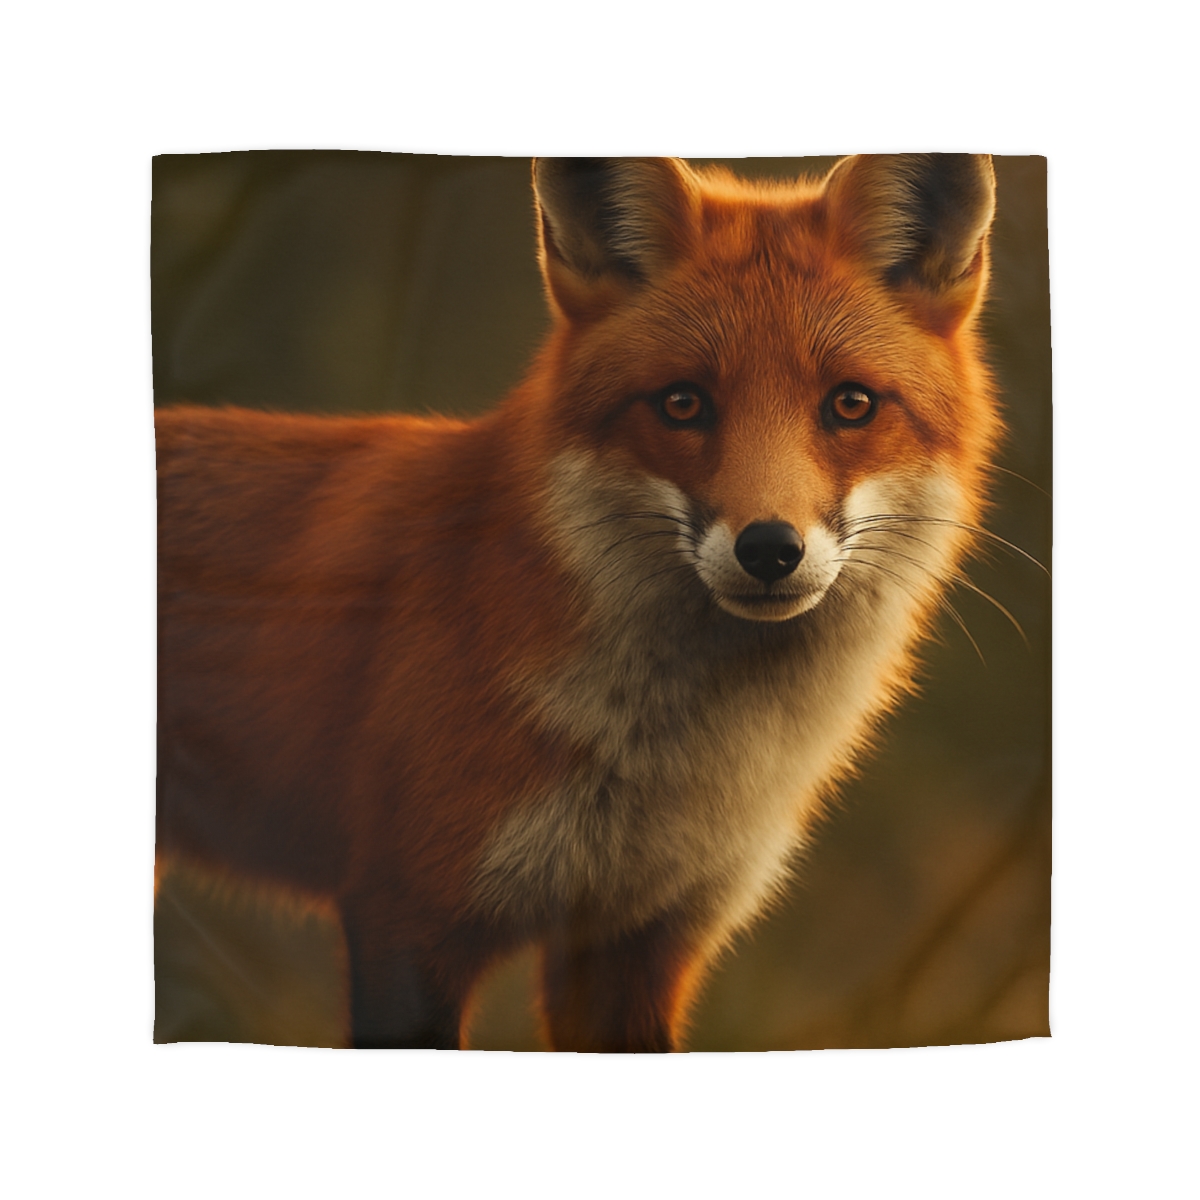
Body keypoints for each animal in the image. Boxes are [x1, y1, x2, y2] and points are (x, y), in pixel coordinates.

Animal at [155, 154, 1002, 1052]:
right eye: (682, 402)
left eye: (851, 403)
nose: (770, 550)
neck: (667, 764)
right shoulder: (406, 917)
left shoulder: (637, 942)